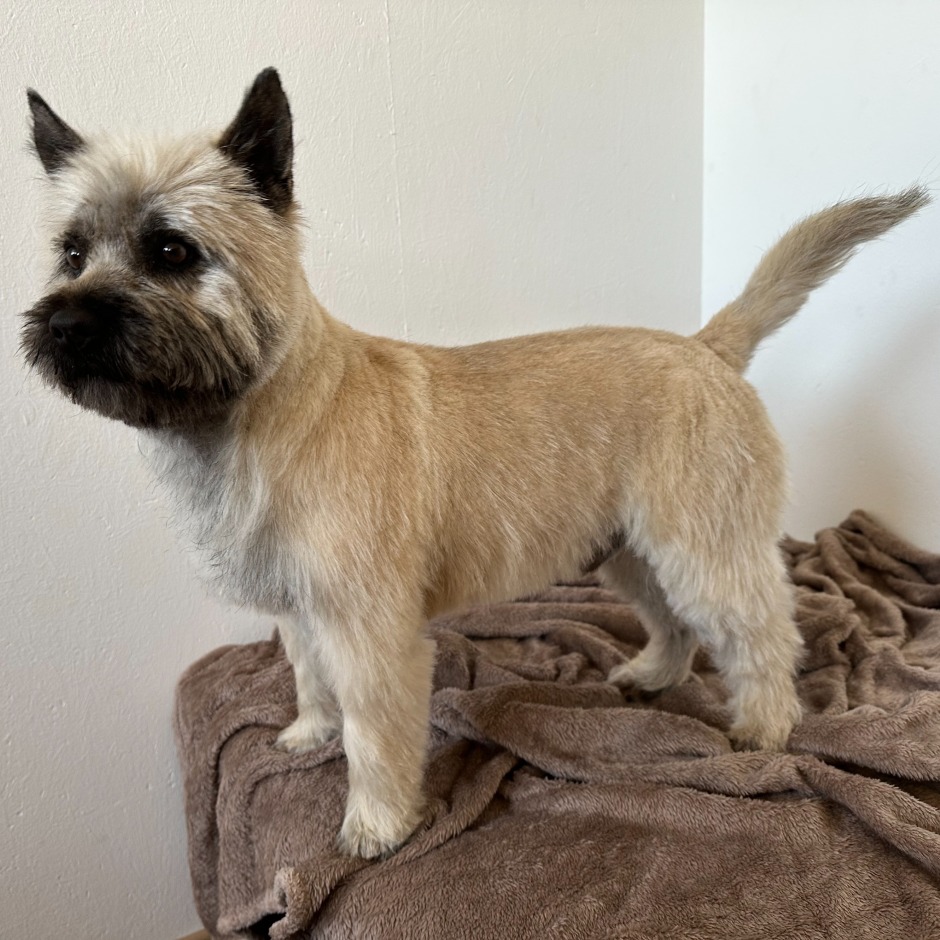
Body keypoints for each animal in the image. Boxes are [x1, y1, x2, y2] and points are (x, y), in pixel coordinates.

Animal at [22, 68, 928, 858]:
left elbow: (375, 735)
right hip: (625, 551)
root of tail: (707, 347)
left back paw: (765, 724)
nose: (62, 325)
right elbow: (311, 682)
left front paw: (377, 824)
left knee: (764, 630)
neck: (267, 413)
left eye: (172, 250)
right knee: (675, 623)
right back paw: (649, 674)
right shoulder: (302, 611)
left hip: (704, 547)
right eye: (71, 253)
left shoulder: (371, 632)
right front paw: (310, 733)